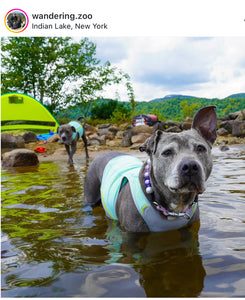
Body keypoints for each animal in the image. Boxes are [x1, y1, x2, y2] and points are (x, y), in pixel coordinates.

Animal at [83, 105, 216, 232]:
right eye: (167, 152)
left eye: (200, 148)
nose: (190, 166)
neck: (177, 206)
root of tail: (104, 153)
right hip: (90, 195)